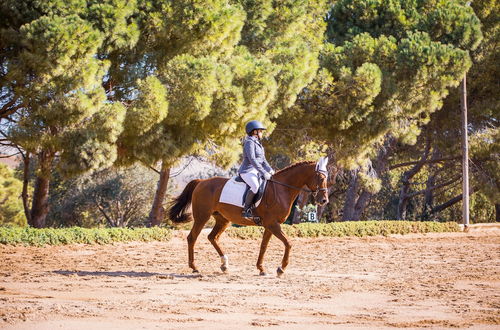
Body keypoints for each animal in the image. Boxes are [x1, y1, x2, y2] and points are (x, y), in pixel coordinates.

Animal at [168, 160, 330, 276]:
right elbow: (288, 243)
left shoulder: (270, 226)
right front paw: (280, 269)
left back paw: (224, 265)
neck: (281, 189)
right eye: (321, 177)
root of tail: (201, 182)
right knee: (192, 238)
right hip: (202, 216)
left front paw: (261, 269)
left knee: (212, 237)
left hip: (223, 220)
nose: (324, 200)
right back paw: (194, 267)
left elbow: (263, 246)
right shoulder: (273, 224)